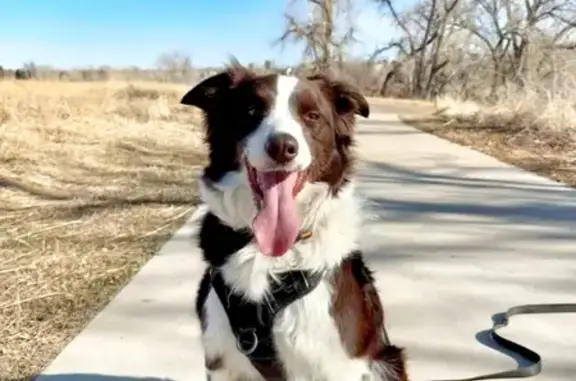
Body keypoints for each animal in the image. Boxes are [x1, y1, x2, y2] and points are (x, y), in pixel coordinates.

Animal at [181, 63, 410, 380]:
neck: (272, 253)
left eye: (312, 116)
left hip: (387, 362)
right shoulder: (220, 362)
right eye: (251, 110)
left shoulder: (335, 366)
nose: (281, 147)